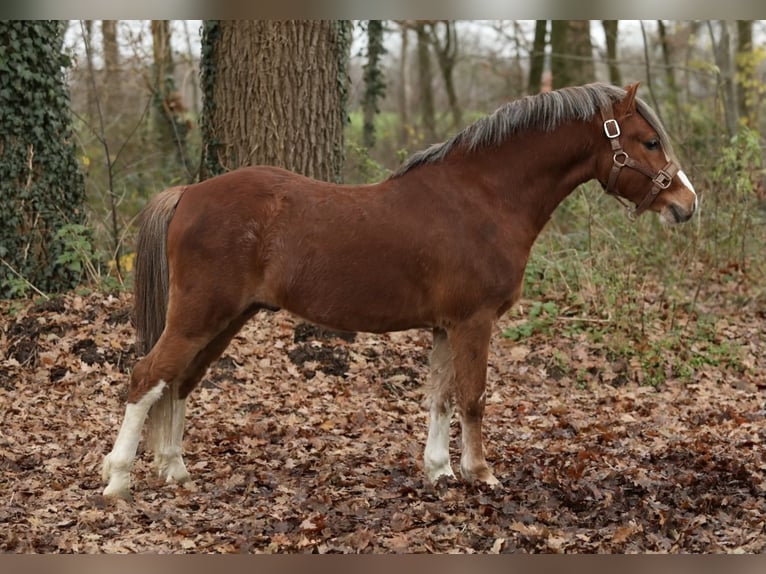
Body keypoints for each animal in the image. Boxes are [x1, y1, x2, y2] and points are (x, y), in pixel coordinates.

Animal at [102, 82, 698, 499]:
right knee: (146, 377)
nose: (687, 206)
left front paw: (438, 472)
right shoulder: (473, 322)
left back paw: (175, 471)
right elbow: (473, 397)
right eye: (649, 141)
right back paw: (118, 481)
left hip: (227, 319)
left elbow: (440, 397)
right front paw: (481, 473)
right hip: (200, 315)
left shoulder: (444, 327)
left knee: (178, 383)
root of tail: (189, 192)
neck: (484, 198)